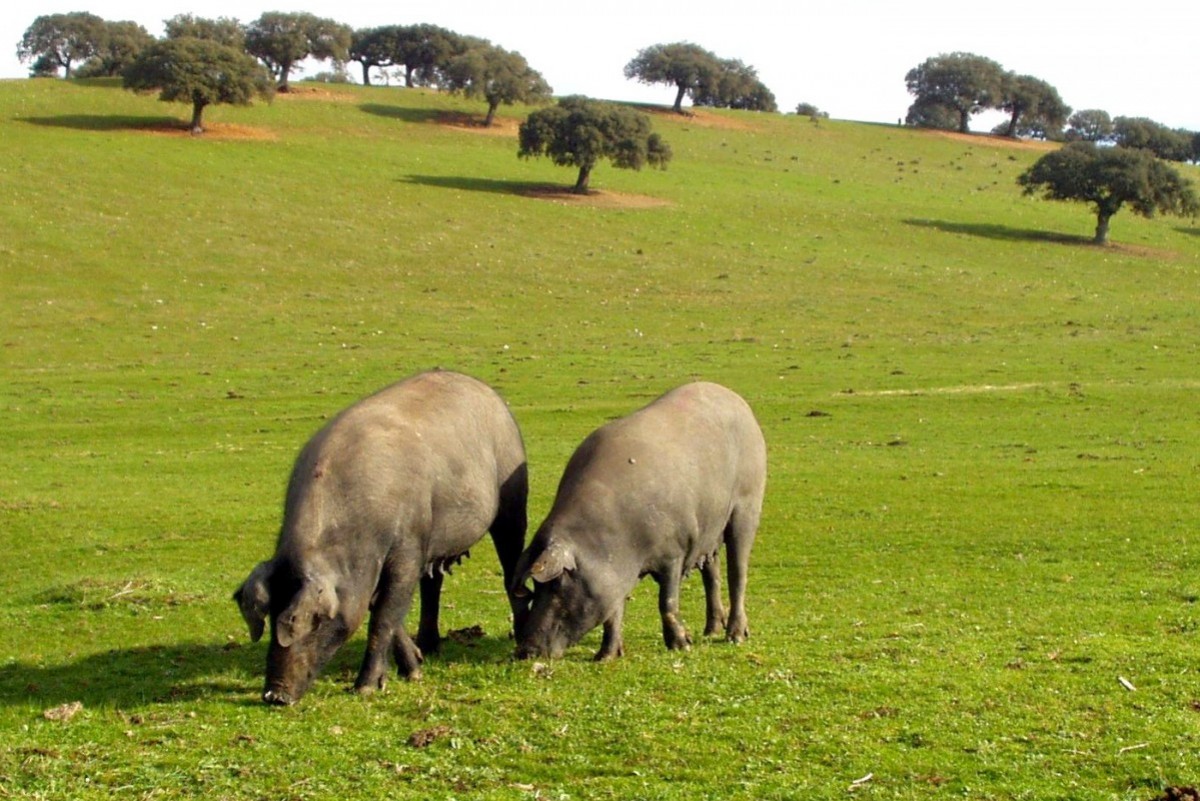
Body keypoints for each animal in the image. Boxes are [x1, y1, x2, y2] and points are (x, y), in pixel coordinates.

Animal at [234, 366, 525, 705]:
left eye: (314, 620)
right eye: (269, 616)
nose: (275, 695)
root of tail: (488, 392)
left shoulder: (408, 545)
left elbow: (385, 614)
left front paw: (366, 687)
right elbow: (381, 607)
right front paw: (414, 670)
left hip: (512, 494)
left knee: (510, 563)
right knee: (433, 585)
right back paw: (429, 648)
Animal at [511, 383, 763, 661]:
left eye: (557, 584)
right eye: (535, 587)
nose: (525, 650)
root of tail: (738, 400)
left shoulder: (674, 551)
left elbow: (667, 601)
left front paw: (682, 645)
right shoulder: (614, 574)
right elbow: (613, 613)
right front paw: (606, 657)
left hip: (747, 505)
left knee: (738, 572)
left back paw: (735, 637)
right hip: (709, 530)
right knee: (712, 573)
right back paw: (710, 631)